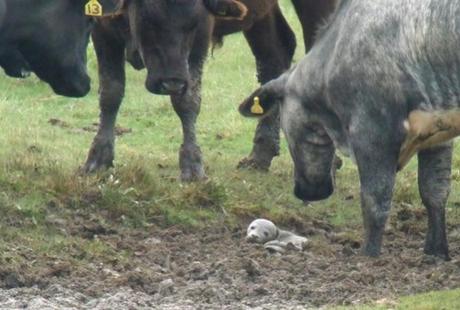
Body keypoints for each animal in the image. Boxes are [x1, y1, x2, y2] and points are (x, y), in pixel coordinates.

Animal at [239, 0, 458, 260]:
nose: (307, 192)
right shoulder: (437, 127)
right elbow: (434, 191)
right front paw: (436, 253)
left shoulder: (372, 132)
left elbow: (375, 200)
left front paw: (369, 255)